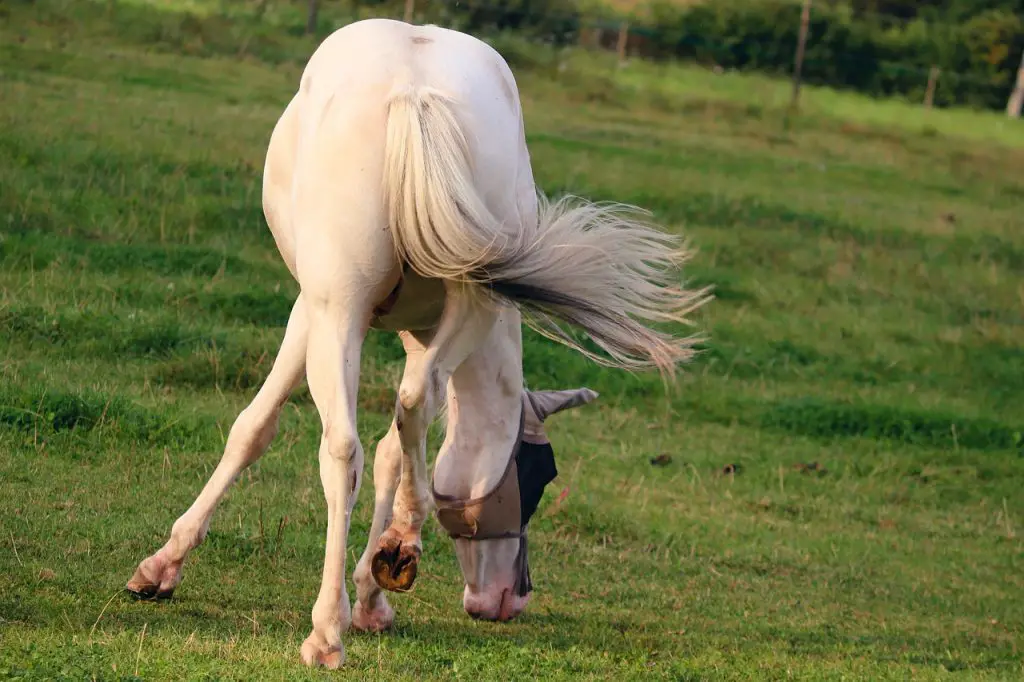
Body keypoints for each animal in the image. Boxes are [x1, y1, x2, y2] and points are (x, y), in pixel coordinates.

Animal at [123, 17, 708, 667]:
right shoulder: (348, 319)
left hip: (349, 310)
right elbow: (317, 436)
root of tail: (414, 92)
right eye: (538, 477)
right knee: (402, 409)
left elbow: (328, 437)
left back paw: (332, 623)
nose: (511, 599)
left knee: (348, 446)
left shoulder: (323, 312)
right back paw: (380, 565)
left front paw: (370, 586)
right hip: (453, 303)